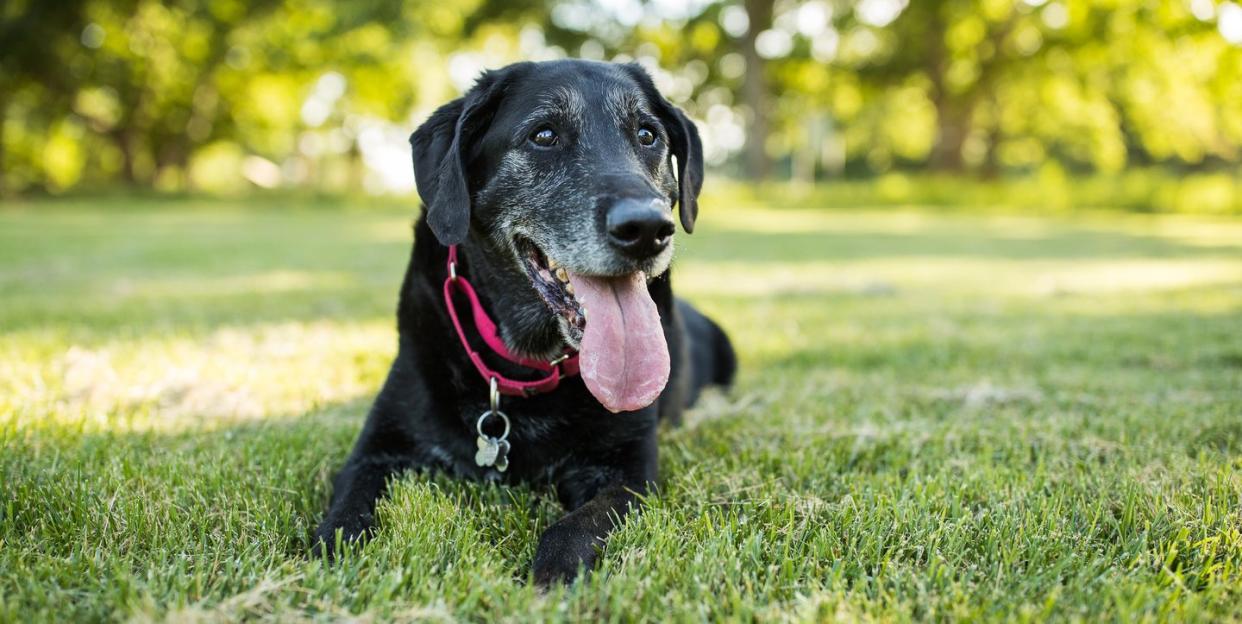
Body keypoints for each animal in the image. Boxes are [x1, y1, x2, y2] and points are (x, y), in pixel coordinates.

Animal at [315, 59, 730, 584]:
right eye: (544, 135)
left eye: (647, 134)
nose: (647, 229)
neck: (526, 366)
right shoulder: (377, 447)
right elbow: (347, 510)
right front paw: (336, 550)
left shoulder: (631, 472)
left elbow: (575, 527)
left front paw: (551, 575)